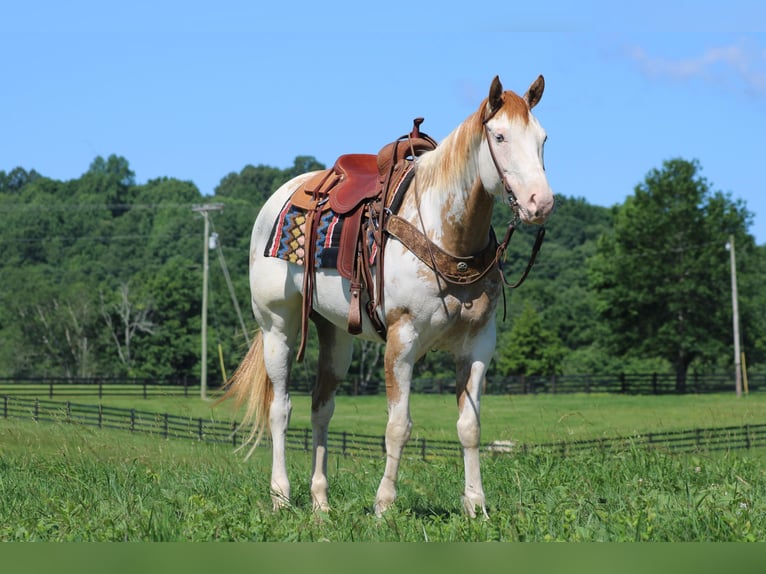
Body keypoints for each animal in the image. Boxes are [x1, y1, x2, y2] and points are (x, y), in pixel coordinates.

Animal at [224, 74, 555, 517]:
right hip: (277, 327)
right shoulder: (402, 339)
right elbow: (398, 426)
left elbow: (469, 426)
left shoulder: (478, 345)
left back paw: (320, 502)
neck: (444, 234)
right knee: (281, 408)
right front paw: (384, 505)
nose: (541, 202)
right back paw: (281, 495)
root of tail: (282, 196)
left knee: (321, 409)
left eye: (543, 138)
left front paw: (476, 506)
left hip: (336, 335)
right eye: (499, 136)